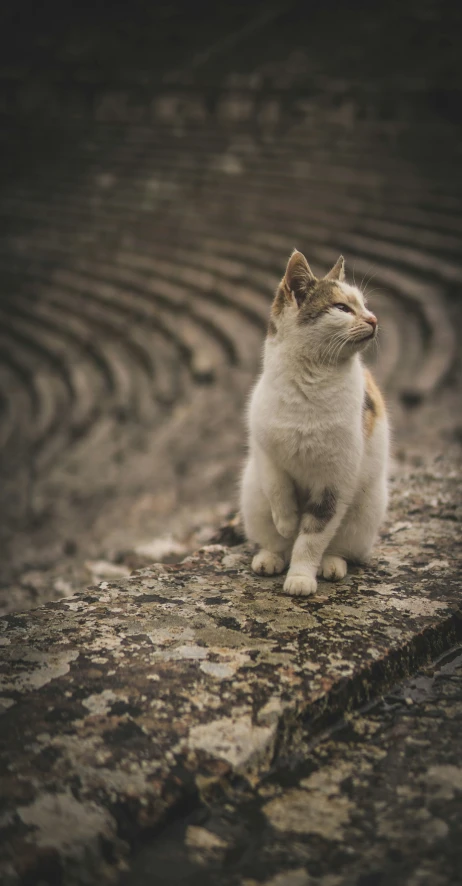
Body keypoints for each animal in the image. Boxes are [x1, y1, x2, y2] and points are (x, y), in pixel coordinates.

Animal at [242, 250, 390, 596]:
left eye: (364, 306)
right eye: (342, 308)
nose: (374, 319)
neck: (309, 384)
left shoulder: (334, 483)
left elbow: (311, 538)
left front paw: (300, 578)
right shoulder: (264, 449)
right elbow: (278, 487)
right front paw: (286, 522)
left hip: (365, 510)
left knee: (337, 547)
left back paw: (331, 565)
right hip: (251, 493)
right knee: (275, 542)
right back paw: (270, 557)